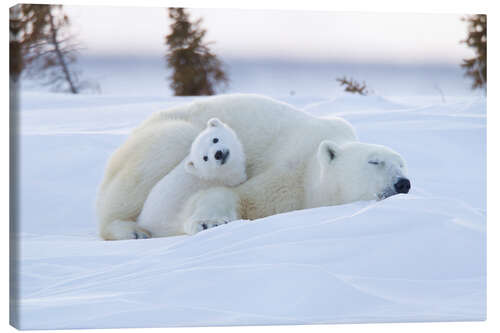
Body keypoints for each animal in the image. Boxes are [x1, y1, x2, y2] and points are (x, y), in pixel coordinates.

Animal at [96, 93, 406, 239]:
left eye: (403, 165)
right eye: (374, 161)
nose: (403, 183)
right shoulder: (289, 167)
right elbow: (241, 195)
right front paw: (210, 222)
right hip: (163, 137)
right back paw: (130, 230)